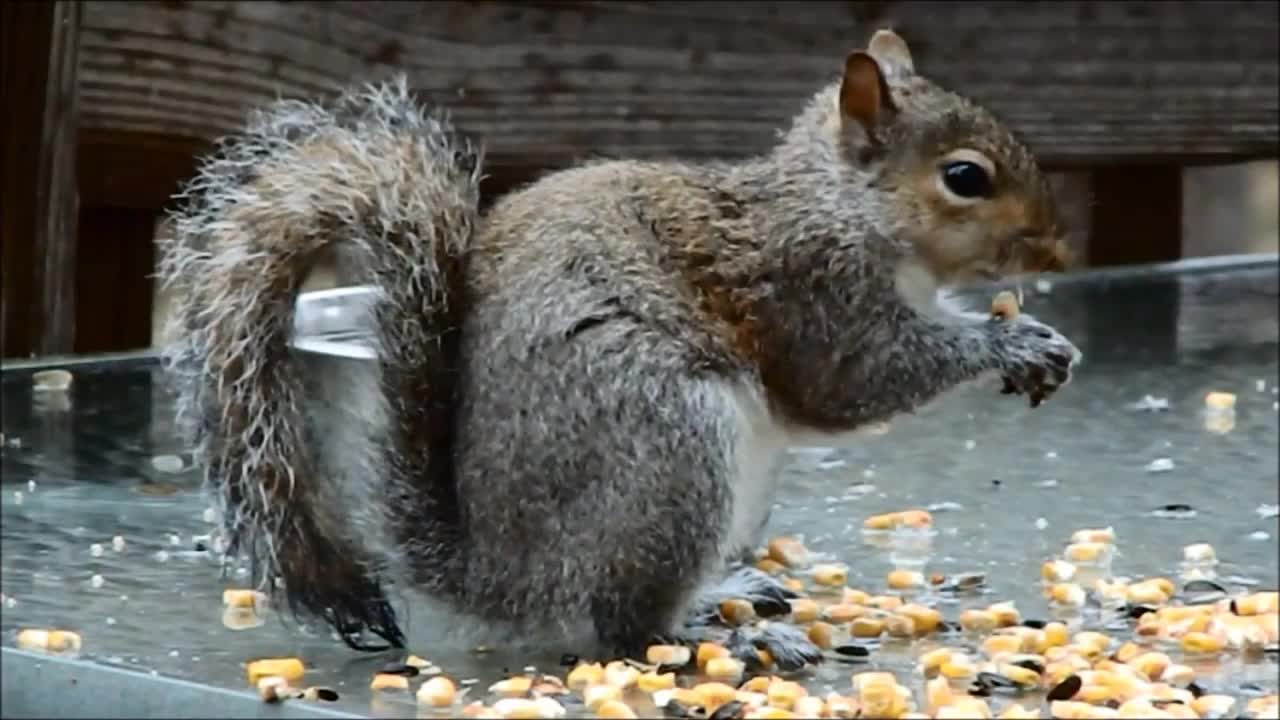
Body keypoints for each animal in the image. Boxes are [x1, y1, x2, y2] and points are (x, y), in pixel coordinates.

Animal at [157, 29, 1080, 666]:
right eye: (965, 178)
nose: (1055, 249)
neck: (840, 204)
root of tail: (502, 576)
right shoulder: (814, 292)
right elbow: (857, 381)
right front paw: (1009, 341)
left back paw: (725, 595)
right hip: (670, 447)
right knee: (625, 628)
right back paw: (726, 640)